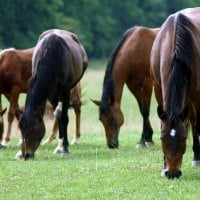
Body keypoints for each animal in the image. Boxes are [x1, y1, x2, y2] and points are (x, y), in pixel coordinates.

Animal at [17, 28, 88, 159]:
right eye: (21, 128)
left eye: (34, 128)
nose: (27, 154)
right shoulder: (50, 92)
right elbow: (58, 115)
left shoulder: (65, 90)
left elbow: (64, 117)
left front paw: (64, 148)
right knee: (58, 113)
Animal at [151, 7, 200, 179]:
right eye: (162, 137)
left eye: (184, 137)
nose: (172, 173)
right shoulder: (158, 88)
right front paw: (164, 166)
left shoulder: (196, 94)